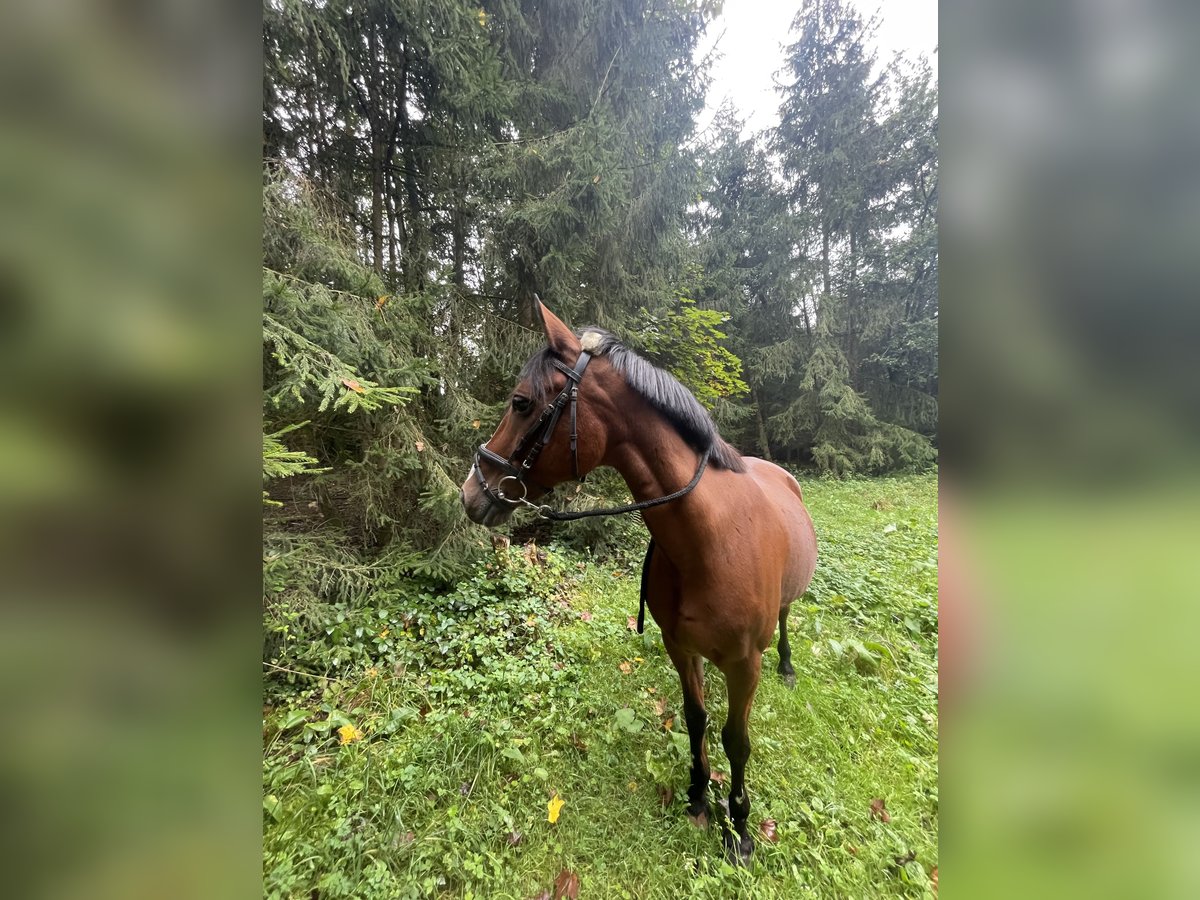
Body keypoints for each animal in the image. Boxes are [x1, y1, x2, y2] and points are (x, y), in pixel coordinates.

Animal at [458, 303, 816, 868]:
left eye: (521, 402)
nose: (470, 492)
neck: (710, 540)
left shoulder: (743, 664)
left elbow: (737, 741)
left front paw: (739, 827)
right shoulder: (680, 648)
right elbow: (696, 719)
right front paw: (698, 795)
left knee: (784, 620)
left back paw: (786, 665)